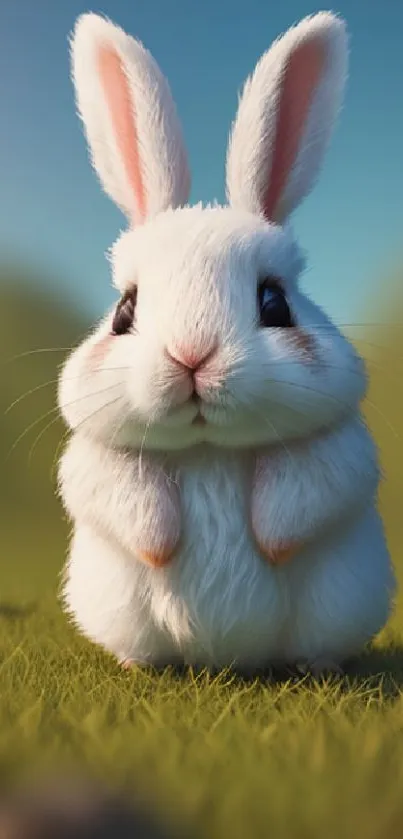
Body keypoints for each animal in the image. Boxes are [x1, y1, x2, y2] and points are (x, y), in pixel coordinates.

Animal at [57, 9, 398, 676]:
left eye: (275, 303)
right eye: (124, 312)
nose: (193, 355)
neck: (206, 447)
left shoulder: (339, 445)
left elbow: (319, 486)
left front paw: (272, 539)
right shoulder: (95, 455)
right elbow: (111, 490)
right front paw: (160, 546)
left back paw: (315, 668)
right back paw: (139, 666)